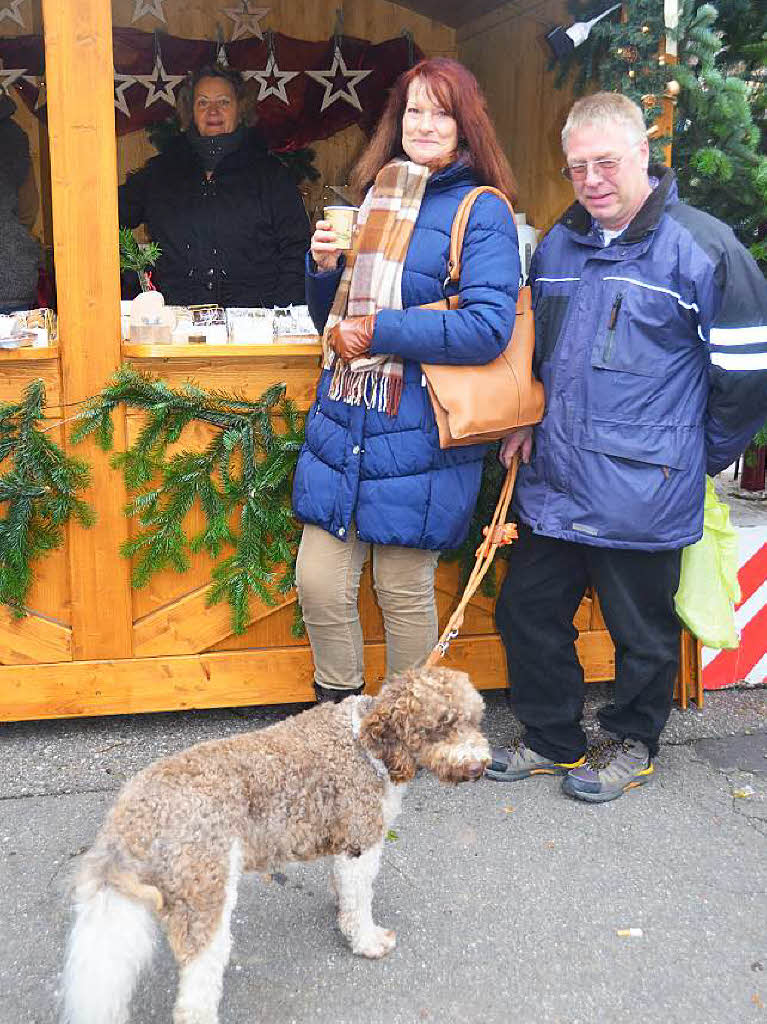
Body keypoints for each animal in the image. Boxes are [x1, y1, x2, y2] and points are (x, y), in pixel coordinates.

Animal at [62, 667, 487, 1019]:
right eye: (441, 725)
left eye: (473, 720)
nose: (479, 765)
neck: (366, 743)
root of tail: (133, 809)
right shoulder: (360, 844)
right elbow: (360, 902)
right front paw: (366, 940)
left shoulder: (344, 847)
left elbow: (346, 891)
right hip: (207, 898)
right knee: (195, 993)